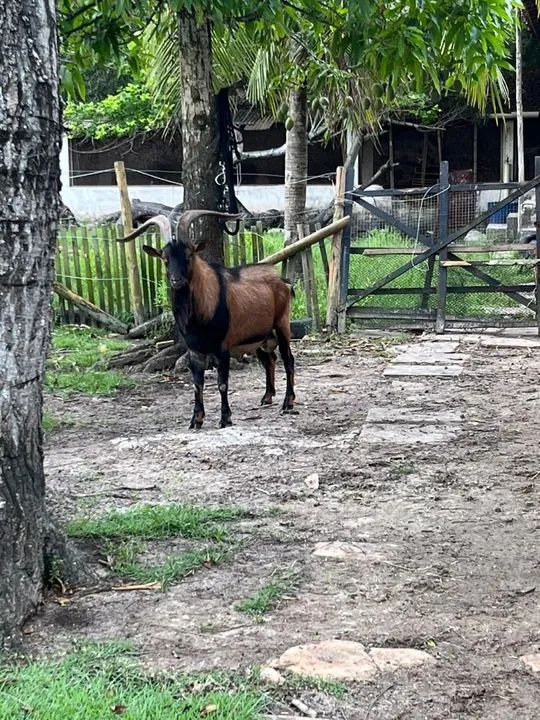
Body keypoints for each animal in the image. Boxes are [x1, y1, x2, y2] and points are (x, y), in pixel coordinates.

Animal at [117, 210, 296, 429]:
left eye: (189, 255)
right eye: (165, 258)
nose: (176, 280)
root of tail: (283, 282)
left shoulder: (222, 348)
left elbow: (222, 384)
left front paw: (225, 418)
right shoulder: (195, 350)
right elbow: (197, 384)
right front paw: (196, 419)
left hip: (281, 325)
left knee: (288, 360)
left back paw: (288, 403)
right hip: (259, 337)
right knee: (269, 359)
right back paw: (267, 397)